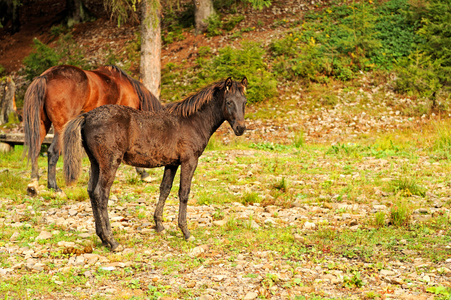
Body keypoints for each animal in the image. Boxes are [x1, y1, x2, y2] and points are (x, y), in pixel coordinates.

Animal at [23, 65, 163, 192]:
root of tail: (46, 77)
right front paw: (143, 173)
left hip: (42, 125)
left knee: (35, 150)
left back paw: (33, 183)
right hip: (60, 127)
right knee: (53, 152)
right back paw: (54, 186)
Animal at [61, 77, 247, 251]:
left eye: (244, 101)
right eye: (229, 102)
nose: (241, 129)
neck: (192, 121)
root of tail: (87, 116)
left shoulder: (172, 164)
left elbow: (165, 189)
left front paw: (159, 225)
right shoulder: (189, 161)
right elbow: (184, 193)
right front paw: (185, 231)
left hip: (96, 163)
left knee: (91, 192)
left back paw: (102, 238)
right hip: (110, 163)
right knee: (101, 194)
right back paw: (112, 241)